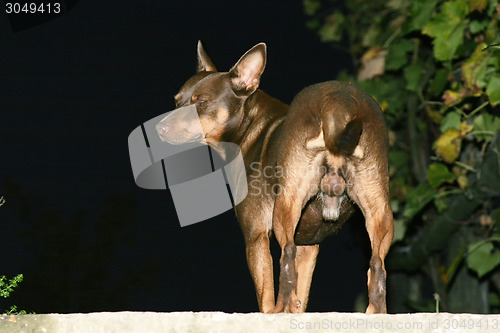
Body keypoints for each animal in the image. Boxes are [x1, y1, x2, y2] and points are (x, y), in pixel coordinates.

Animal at [157, 41, 394, 312]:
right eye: (177, 101)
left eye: (202, 102)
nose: (159, 128)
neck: (250, 126)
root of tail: (339, 102)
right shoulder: (309, 245)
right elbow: (299, 297)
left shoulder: (256, 234)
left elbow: (267, 293)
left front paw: (274, 312)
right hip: (378, 213)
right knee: (377, 268)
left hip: (287, 206)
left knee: (286, 258)